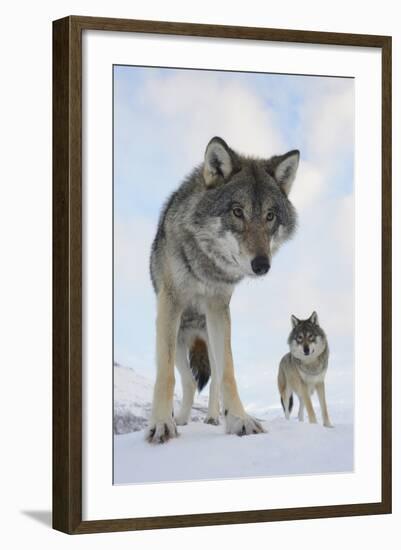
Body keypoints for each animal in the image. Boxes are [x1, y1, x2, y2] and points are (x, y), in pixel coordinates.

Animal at [145, 137, 298, 444]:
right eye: (237, 212)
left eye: (270, 216)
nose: (262, 265)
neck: (205, 264)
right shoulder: (170, 304)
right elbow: (165, 375)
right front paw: (161, 423)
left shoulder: (218, 308)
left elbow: (228, 373)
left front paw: (239, 420)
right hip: (179, 340)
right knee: (189, 381)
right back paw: (181, 418)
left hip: (209, 339)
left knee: (213, 378)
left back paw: (214, 417)